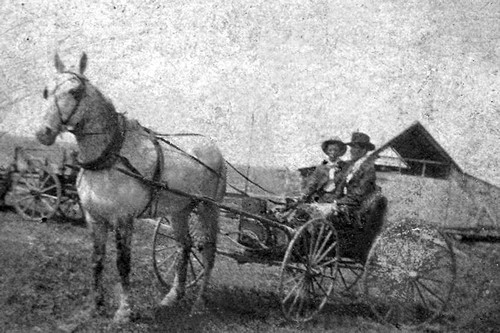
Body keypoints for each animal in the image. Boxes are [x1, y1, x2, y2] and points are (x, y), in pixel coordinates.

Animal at [36, 53, 228, 322]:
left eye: (74, 91)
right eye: (46, 91)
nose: (43, 133)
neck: (110, 157)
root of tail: (212, 146)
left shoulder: (123, 219)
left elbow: (122, 263)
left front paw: (125, 311)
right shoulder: (94, 218)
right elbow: (97, 260)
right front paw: (96, 306)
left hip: (208, 208)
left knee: (209, 252)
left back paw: (199, 303)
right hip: (179, 211)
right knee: (185, 246)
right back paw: (173, 296)